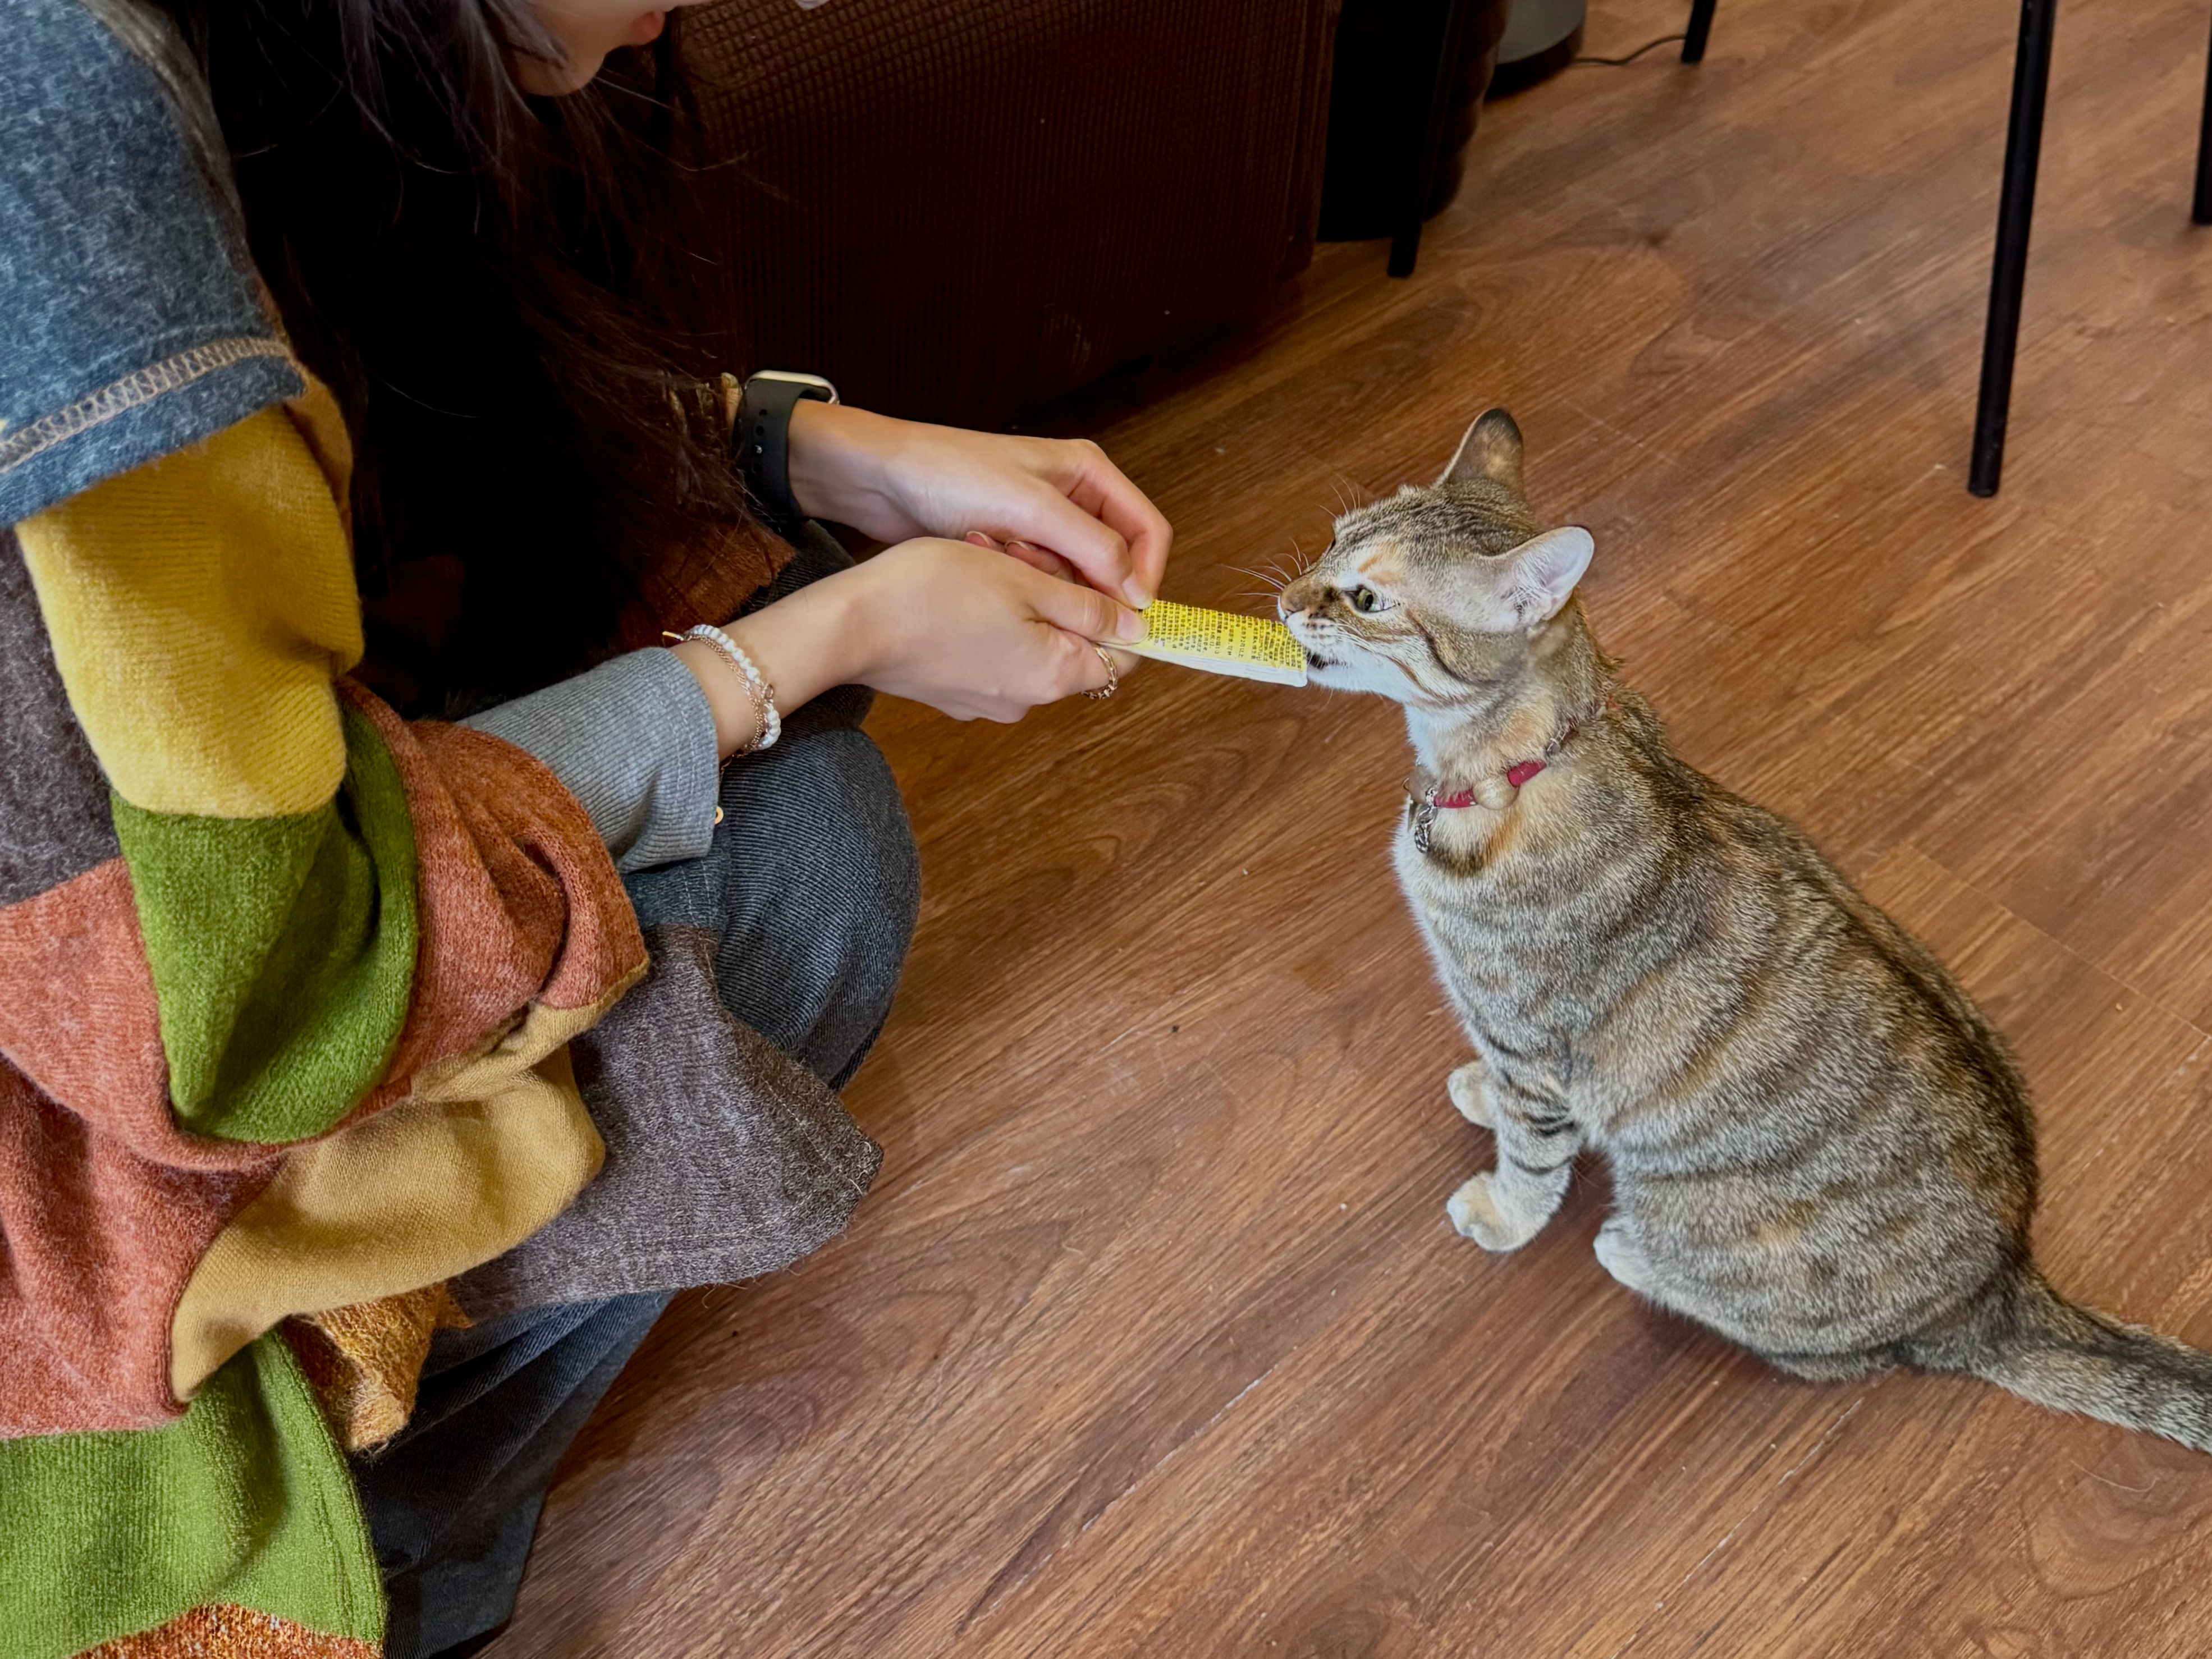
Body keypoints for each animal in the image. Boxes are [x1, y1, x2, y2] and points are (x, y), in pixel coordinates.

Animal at [1283, 409, 2212, 1451]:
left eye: (1366, 597)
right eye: (1330, 540)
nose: (1283, 597)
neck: (1508, 770)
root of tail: (2003, 1288)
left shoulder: (1534, 1046)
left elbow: (1532, 1155)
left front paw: (1504, 1212)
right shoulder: (1509, 1041)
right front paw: (1479, 1094)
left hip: (1696, 1217)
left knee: (1825, 1353)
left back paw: (1633, 1254)